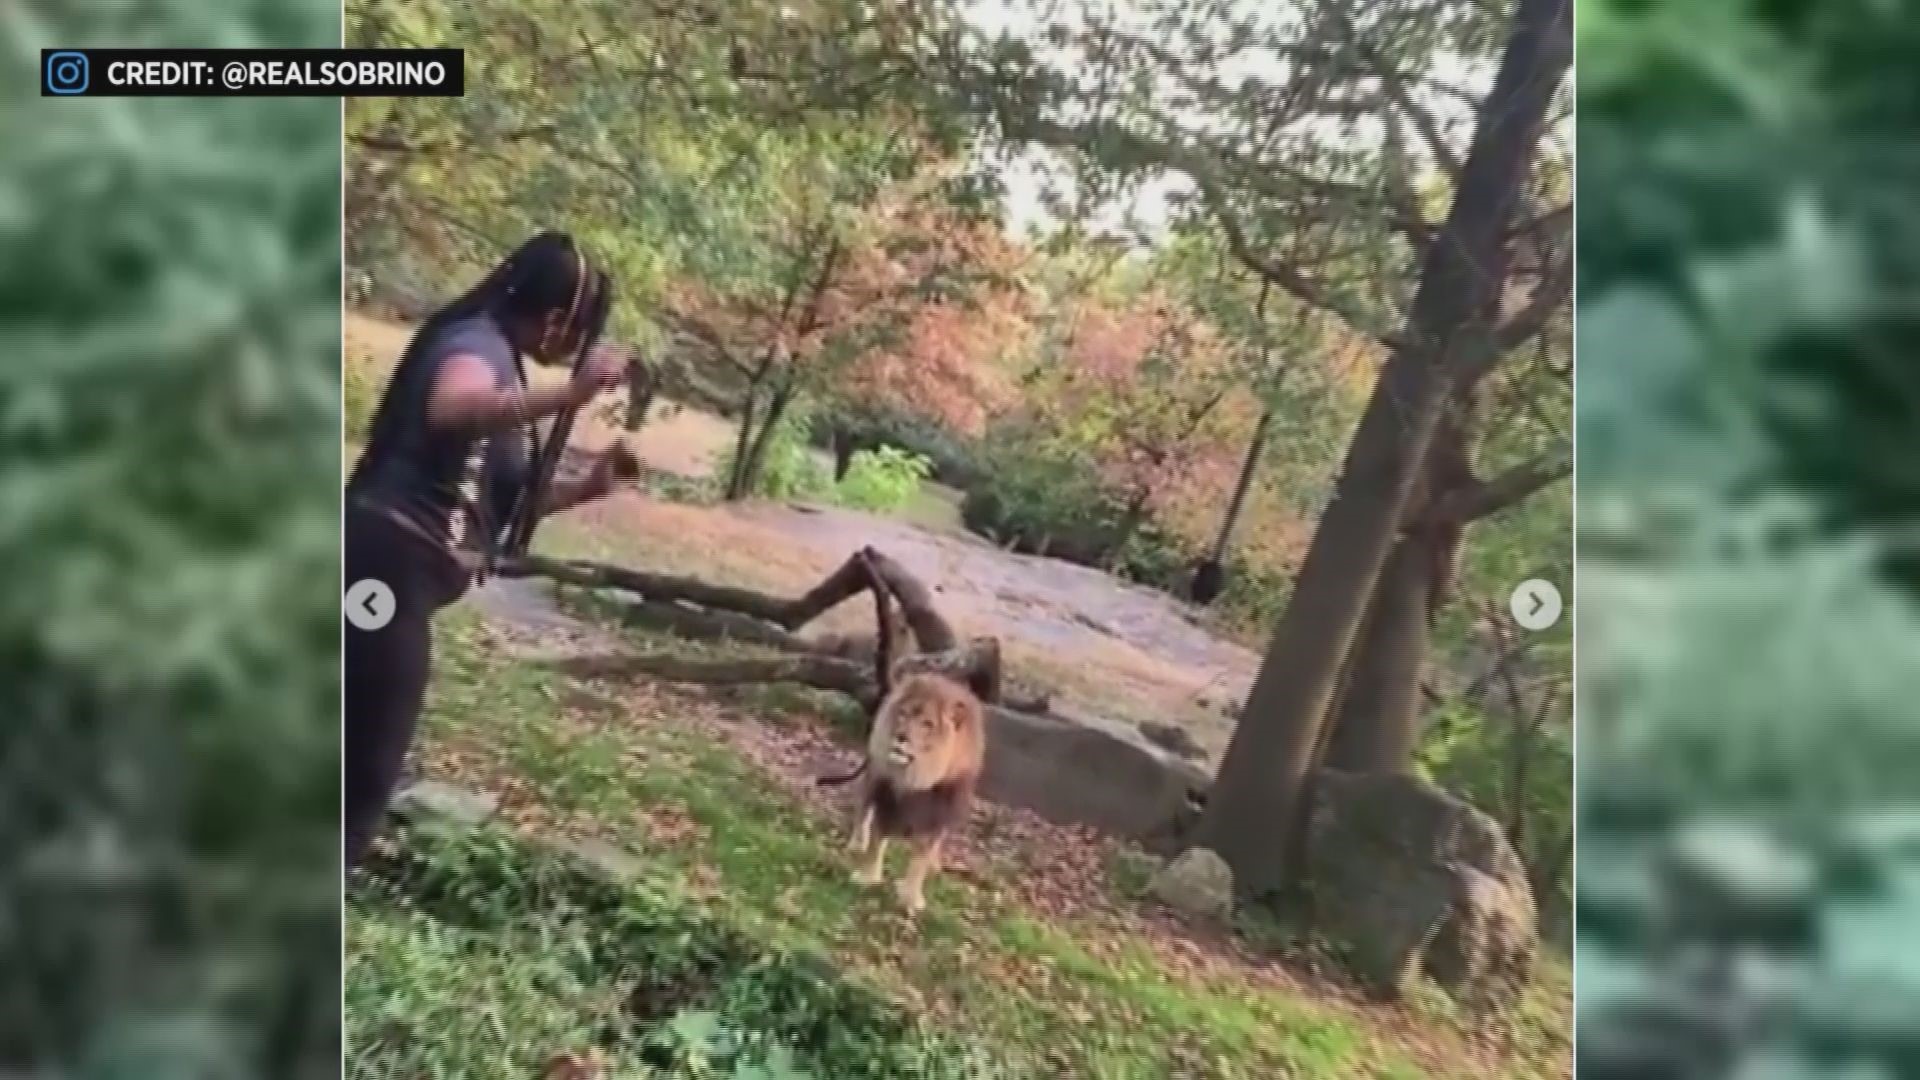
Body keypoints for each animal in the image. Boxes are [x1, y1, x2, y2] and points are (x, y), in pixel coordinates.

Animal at [821, 672, 983, 907]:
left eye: (927, 724)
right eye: (903, 714)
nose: (900, 736)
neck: (915, 778)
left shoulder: (936, 815)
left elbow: (920, 860)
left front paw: (911, 898)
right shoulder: (886, 799)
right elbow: (876, 842)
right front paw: (867, 878)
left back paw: (934, 863)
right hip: (872, 778)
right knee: (862, 812)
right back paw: (857, 843)